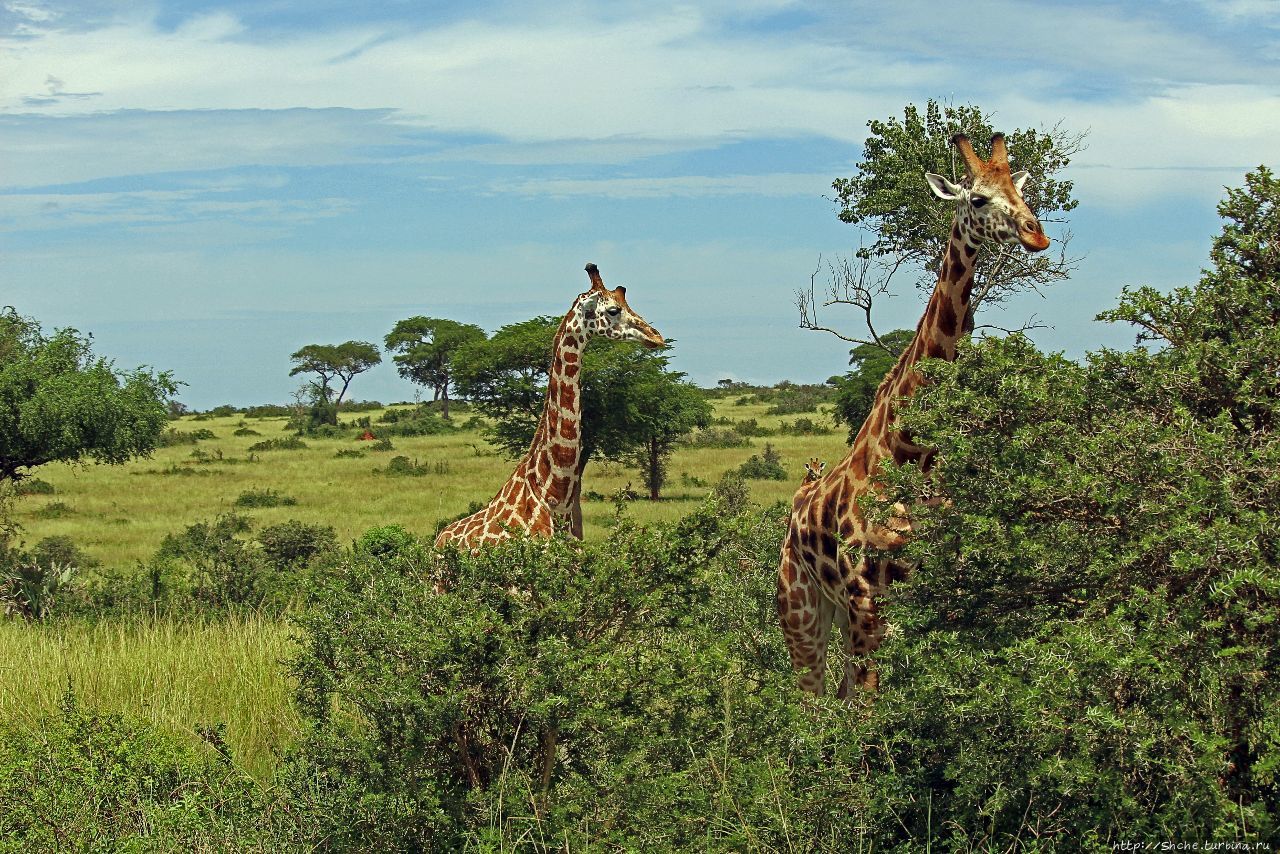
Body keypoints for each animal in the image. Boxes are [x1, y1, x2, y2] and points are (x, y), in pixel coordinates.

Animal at [778, 131, 1049, 696]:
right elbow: (872, 707)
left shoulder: (936, 592)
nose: (1037, 236)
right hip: (802, 614)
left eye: (1019, 190)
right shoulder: (866, 598)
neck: (910, 453)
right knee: (811, 703)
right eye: (978, 198)